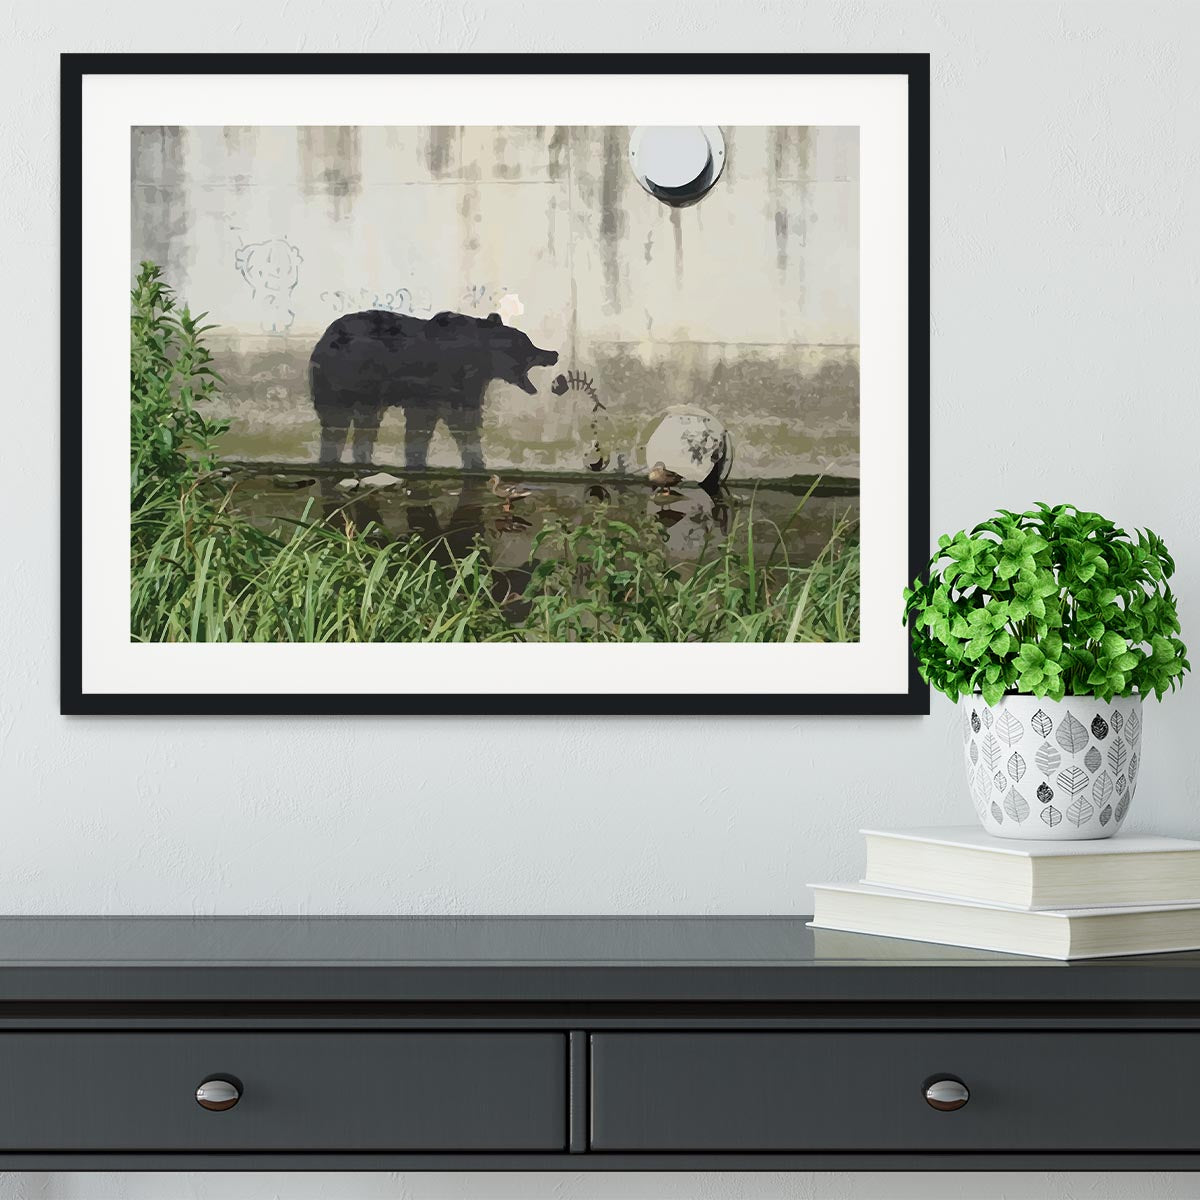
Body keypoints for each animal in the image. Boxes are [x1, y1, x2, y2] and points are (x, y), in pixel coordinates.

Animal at [309, 309, 559, 470]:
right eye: (528, 344)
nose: (553, 353)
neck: (480, 360)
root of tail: (322, 340)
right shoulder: (437, 383)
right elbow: (440, 423)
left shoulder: (463, 386)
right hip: (343, 380)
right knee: (336, 423)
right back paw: (331, 458)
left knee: (365, 425)